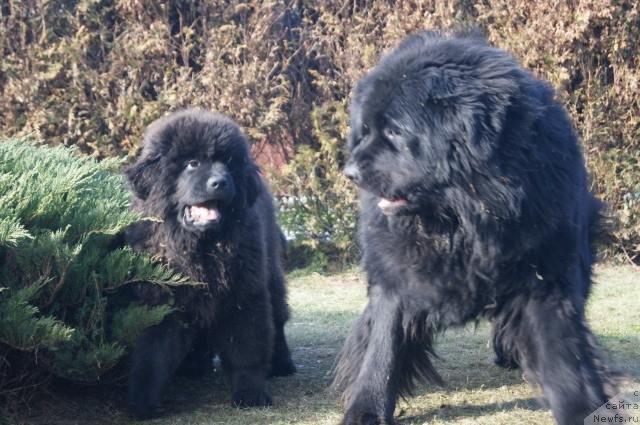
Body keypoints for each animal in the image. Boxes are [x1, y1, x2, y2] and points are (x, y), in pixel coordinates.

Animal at [124, 108, 296, 418]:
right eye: (192, 164)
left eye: (228, 164)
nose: (221, 182)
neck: (200, 250)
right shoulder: (159, 300)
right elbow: (152, 354)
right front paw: (142, 404)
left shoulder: (244, 294)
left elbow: (246, 348)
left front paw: (250, 394)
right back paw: (194, 367)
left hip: (270, 272)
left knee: (278, 317)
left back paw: (282, 364)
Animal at [332, 32, 616, 424]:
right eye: (366, 130)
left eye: (394, 131)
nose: (350, 172)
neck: (461, 220)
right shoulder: (396, 276)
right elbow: (383, 348)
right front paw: (365, 409)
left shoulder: (543, 273)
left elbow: (562, 356)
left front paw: (582, 409)